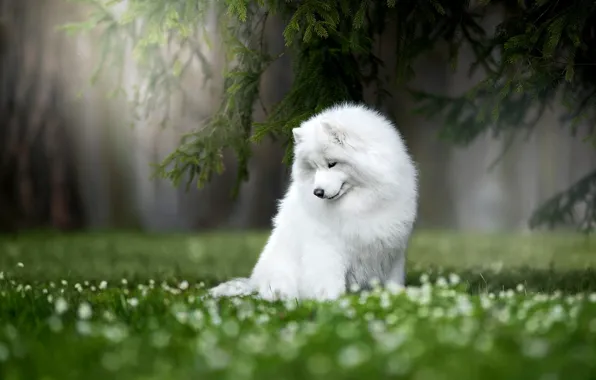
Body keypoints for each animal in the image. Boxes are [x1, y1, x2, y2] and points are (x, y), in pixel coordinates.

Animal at [210, 102, 420, 302]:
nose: (317, 192)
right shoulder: (328, 250)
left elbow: (393, 282)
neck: (362, 202)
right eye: (314, 167)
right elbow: (330, 283)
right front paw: (332, 302)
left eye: (332, 164)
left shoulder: (392, 252)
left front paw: (397, 296)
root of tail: (253, 282)